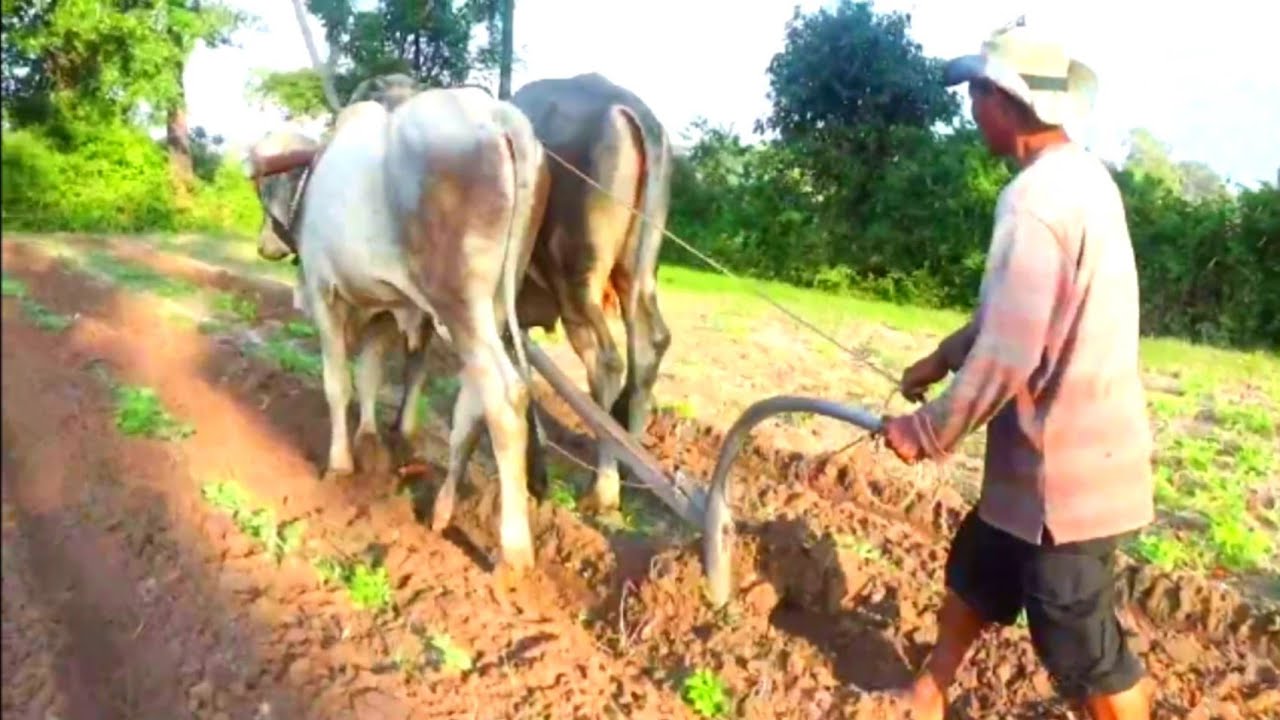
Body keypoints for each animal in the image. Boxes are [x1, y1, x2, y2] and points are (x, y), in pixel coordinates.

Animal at [244, 87, 551, 570]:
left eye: (261, 193)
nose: (264, 245)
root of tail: (501, 118)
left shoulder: (324, 293)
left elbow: (338, 383)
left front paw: (340, 464)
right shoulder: (386, 308)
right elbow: (369, 375)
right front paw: (369, 443)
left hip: (460, 303)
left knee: (505, 398)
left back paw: (514, 551)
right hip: (495, 304)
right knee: (473, 404)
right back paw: (442, 512)